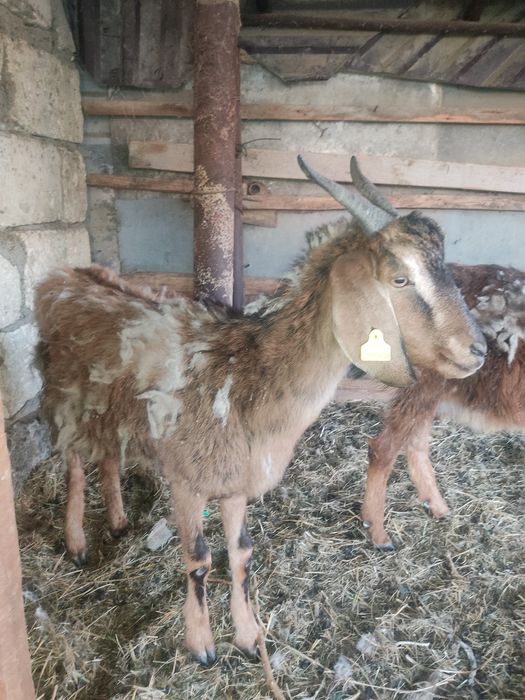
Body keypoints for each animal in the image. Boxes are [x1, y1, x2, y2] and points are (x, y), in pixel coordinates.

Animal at [34, 156, 485, 665]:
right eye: (399, 278)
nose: (478, 350)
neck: (250, 377)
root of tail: (61, 278)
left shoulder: (235, 481)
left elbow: (241, 554)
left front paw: (249, 639)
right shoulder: (187, 480)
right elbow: (198, 559)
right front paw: (202, 646)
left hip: (111, 411)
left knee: (108, 454)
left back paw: (116, 523)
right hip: (66, 402)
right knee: (74, 463)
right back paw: (77, 545)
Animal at [363, 263, 525, 550]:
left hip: (430, 389)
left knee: (414, 442)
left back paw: (437, 507)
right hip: (425, 383)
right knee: (384, 448)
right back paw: (378, 534)